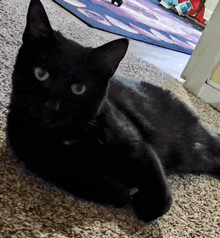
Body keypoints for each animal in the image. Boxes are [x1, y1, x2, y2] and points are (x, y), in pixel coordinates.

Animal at [6, 0, 220, 223]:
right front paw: (121, 190)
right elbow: (80, 179)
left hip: (192, 146)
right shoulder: (42, 159)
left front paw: (143, 202)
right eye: (41, 73)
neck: (68, 136)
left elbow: (158, 188)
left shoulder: (138, 145)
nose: (51, 106)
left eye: (79, 88)